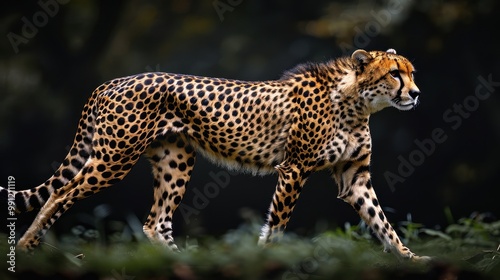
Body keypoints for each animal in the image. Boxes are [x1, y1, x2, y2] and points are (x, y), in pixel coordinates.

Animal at [0, 48, 430, 260]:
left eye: (412, 72)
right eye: (395, 73)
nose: (416, 93)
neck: (357, 103)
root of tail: (112, 81)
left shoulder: (354, 177)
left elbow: (383, 223)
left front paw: (411, 259)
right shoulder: (294, 168)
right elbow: (277, 225)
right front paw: (265, 261)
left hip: (175, 160)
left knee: (155, 223)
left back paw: (183, 263)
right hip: (113, 158)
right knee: (61, 193)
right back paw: (28, 248)